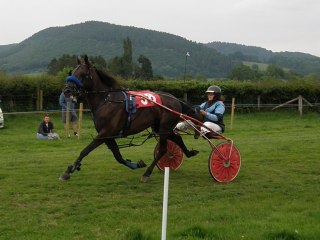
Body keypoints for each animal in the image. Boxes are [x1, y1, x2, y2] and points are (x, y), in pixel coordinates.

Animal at [57, 55, 198, 183]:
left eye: (83, 74)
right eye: (72, 72)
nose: (67, 90)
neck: (105, 100)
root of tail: (175, 99)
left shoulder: (106, 133)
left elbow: (85, 150)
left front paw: (69, 170)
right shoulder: (108, 135)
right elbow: (118, 156)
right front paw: (136, 164)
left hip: (164, 127)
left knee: (163, 149)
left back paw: (147, 174)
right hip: (160, 127)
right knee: (177, 138)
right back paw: (189, 153)